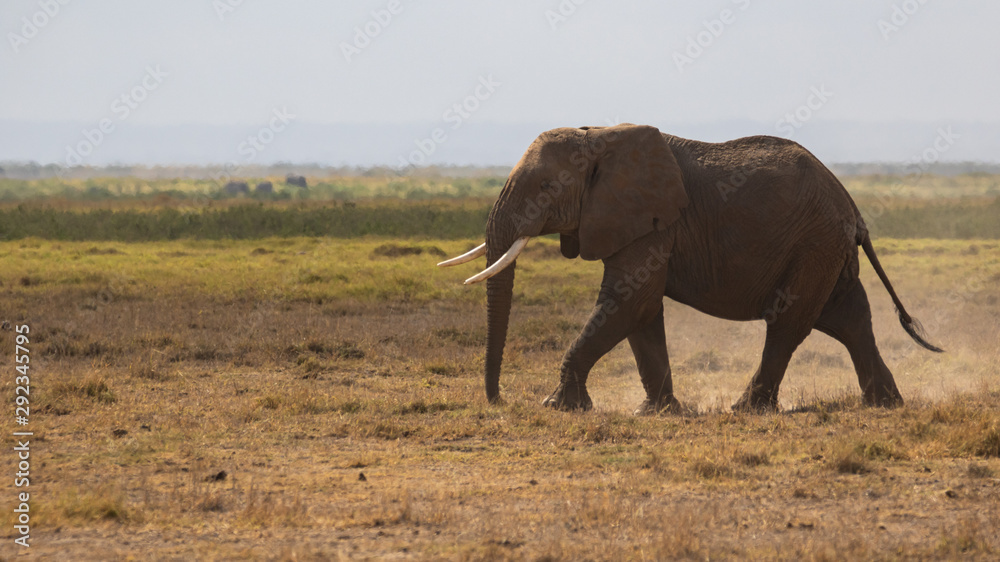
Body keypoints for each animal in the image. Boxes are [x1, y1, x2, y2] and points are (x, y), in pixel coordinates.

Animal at [438, 124, 942, 414]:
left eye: (546, 187)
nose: (498, 401)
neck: (598, 133)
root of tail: (851, 204)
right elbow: (641, 311)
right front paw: (658, 413)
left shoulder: (653, 221)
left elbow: (628, 300)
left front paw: (557, 407)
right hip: (825, 249)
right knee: (847, 317)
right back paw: (885, 405)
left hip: (813, 244)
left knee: (789, 322)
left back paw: (745, 409)